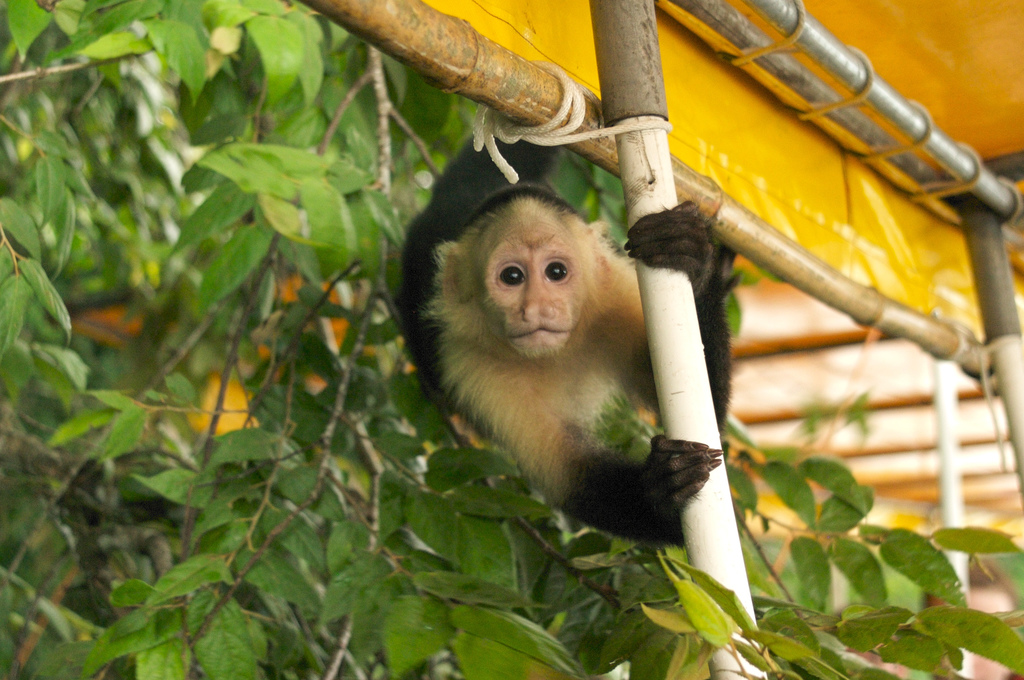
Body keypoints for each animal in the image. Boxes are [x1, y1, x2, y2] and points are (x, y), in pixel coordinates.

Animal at [395, 140, 733, 544]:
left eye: (555, 272)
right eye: (512, 277)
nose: (537, 307)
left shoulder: (615, 299)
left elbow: (701, 410)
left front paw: (694, 259)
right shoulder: (473, 367)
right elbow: (573, 478)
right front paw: (663, 488)